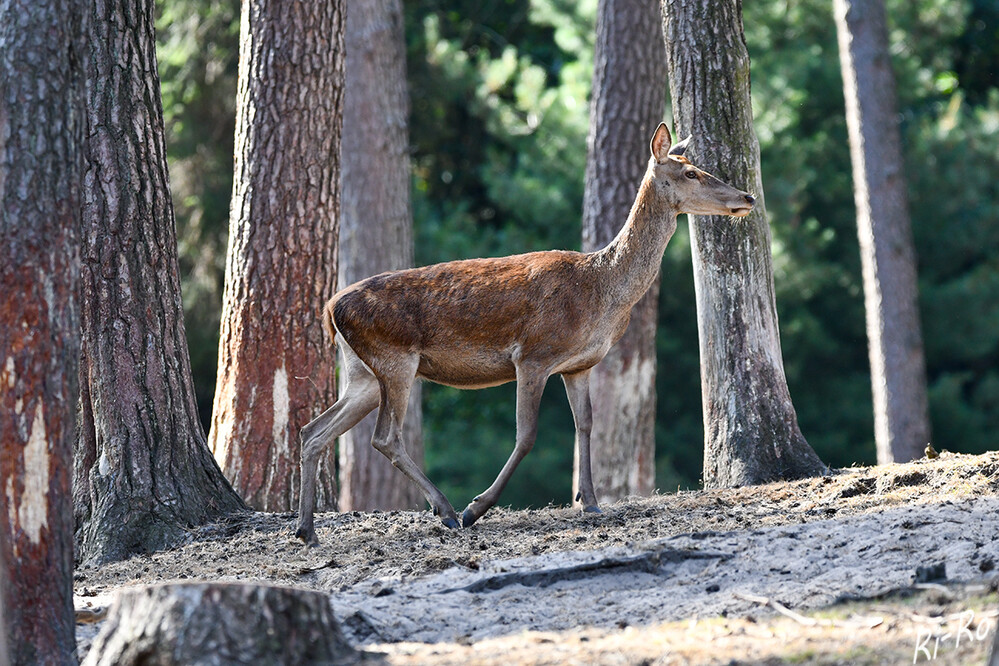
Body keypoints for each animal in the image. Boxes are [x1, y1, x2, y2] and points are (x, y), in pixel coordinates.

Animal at [292, 122, 752, 544]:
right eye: (690, 172)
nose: (746, 198)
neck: (602, 292)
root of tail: (330, 308)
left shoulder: (579, 365)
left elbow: (586, 424)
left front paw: (592, 503)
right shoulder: (533, 354)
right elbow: (527, 435)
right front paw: (477, 507)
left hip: (363, 373)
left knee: (313, 431)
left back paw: (307, 530)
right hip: (395, 358)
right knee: (384, 437)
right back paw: (447, 511)